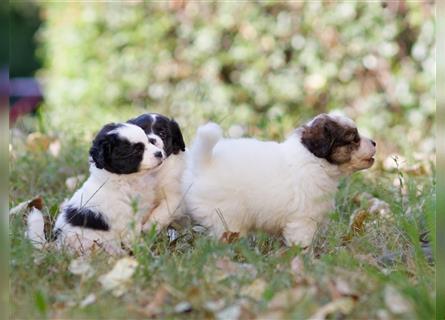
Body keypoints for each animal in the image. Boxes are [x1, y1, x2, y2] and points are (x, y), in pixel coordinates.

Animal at [180, 113, 374, 248]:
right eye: (353, 139)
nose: (374, 142)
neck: (314, 161)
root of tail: (204, 163)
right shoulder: (303, 222)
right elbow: (303, 242)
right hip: (226, 218)